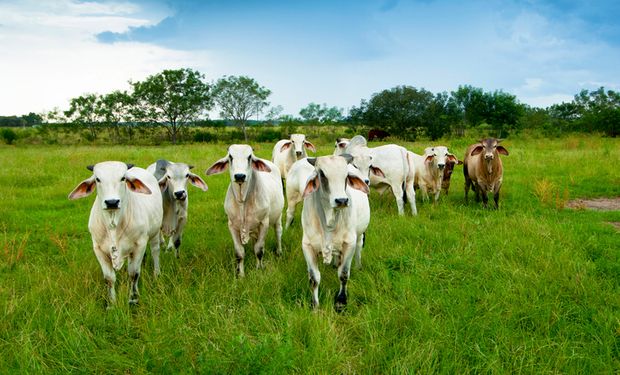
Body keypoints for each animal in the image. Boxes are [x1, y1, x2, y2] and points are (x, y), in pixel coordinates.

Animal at [69, 162, 163, 308]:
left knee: (155, 251)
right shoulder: (98, 249)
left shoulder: (140, 244)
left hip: (155, 233)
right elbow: (109, 278)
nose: (112, 202)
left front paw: (133, 299)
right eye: (98, 179)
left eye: (123, 178)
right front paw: (111, 304)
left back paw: (156, 273)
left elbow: (134, 274)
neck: (113, 223)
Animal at [208, 145, 286, 278]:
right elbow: (239, 253)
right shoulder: (232, 226)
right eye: (230, 157)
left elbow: (259, 250)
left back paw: (279, 251)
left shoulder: (264, 223)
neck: (242, 200)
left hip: (278, 216)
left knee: (278, 232)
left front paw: (259, 269)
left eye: (249, 157)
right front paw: (240, 274)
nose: (240, 176)